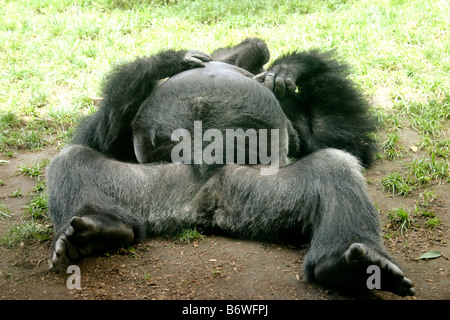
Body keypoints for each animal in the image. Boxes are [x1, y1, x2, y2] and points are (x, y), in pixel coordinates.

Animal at [45, 38, 414, 296]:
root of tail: (202, 197)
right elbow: (103, 135)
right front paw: (166, 60)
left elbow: (341, 138)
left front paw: (292, 67)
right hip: (155, 190)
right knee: (72, 160)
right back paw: (98, 227)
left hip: (255, 195)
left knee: (333, 166)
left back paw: (344, 264)